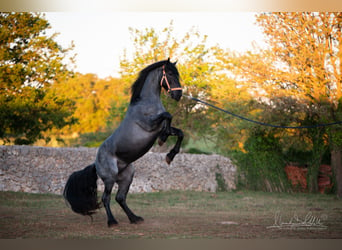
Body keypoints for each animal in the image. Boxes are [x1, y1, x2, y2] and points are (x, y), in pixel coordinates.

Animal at [62, 58, 183, 227]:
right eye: (170, 74)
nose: (178, 94)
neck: (146, 104)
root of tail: (96, 164)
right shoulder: (149, 125)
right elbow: (168, 115)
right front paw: (163, 140)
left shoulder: (161, 128)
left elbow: (179, 132)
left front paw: (170, 155)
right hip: (110, 178)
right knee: (106, 198)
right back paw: (112, 221)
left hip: (127, 177)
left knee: (120, 198)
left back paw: (134, 218)